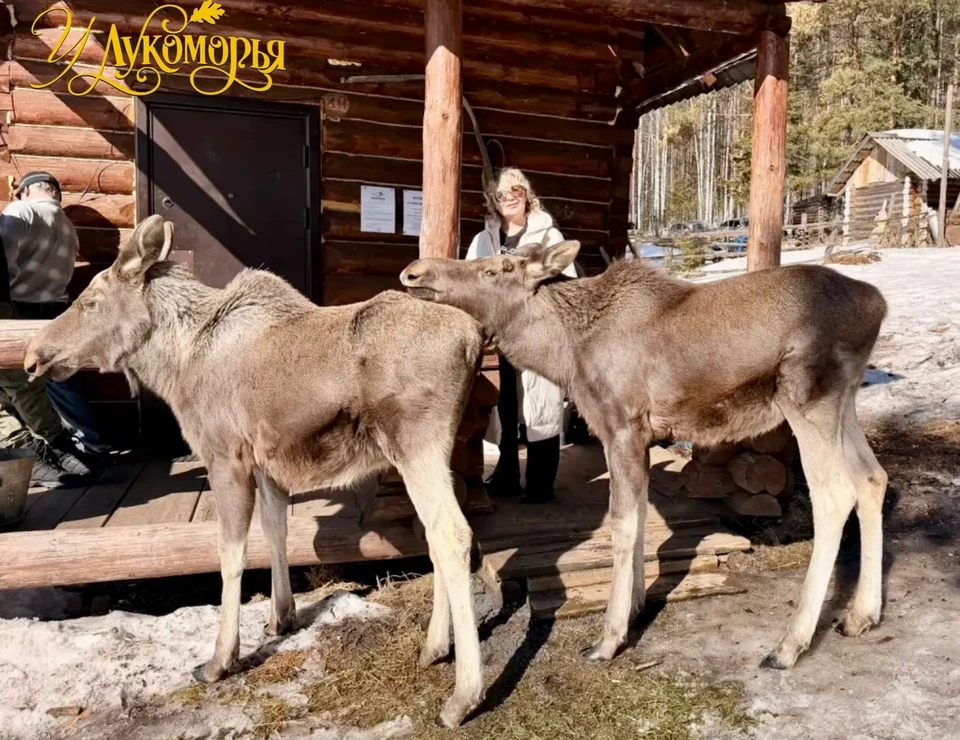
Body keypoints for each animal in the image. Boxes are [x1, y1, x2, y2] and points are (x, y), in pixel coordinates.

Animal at [23, 215, 487, 728]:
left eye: (91, 302)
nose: (32, 356)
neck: (175, 365)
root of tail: (474, 339)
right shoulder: (266, 463)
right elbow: (275, 530)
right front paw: (281, 616)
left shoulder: (225, 456)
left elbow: (230, 555)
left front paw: (219, 659)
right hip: (436, 451)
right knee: (437, 532)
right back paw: (434, 647)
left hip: (415, 443)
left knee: (452, 533)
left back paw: (464, 694)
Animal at [400, 240, 889, 670]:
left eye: (497, 268)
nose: (414, 272)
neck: (565, 353)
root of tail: (879, 305)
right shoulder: (639, 437)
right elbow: (636, 521)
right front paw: (635, 608)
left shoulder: (622, 427)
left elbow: (622, 524)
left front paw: (609, 639)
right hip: (844, 404)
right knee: (873, 478)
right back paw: (861, 614)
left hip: (806, 398)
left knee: (834, 495)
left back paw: (789, 645)